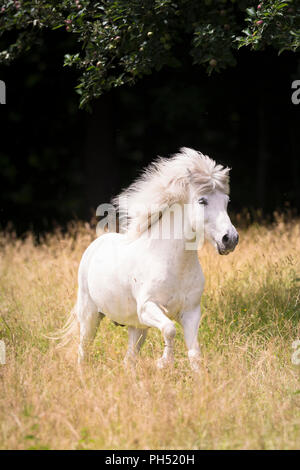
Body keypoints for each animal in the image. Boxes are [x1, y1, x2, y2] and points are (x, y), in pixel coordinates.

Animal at [59, 149, 238, 370]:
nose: (230, 239)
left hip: (137, 327)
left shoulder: (190, 312)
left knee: (129, 360)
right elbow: (170, 329)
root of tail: (95, 246)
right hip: (90, 315)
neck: (174, 263)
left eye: (226, 201)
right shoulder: (147, 307)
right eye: (202, 200)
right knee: (83, 350)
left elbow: (195, 353)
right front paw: (163, 362)